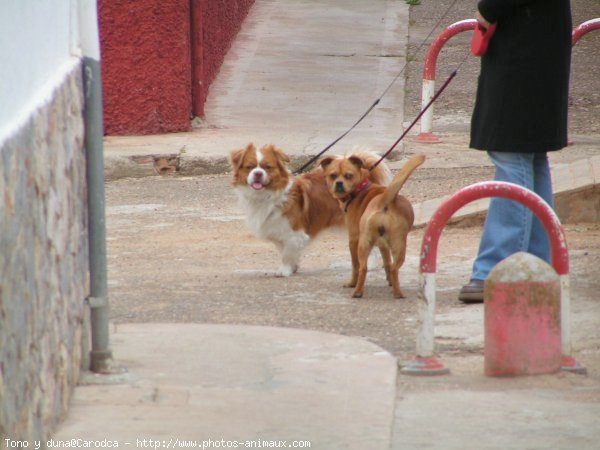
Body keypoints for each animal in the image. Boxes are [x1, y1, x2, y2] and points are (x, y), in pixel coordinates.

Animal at [227, 142, 392, 276]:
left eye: (267, 167)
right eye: (249, 167)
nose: (258, 173)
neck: (266, 196)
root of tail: (365, 176)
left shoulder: (296, 233)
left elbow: (286, 253)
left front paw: (285, 270)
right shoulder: (279, 231)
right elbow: (284, 250)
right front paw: (293, 267)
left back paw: (369, 265)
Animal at [322, 155, 424, 298]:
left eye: (348, 175)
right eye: (333, 175)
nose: (339, 183)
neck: (360, 189)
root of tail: (385, 200)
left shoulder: (353, 239)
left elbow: (355, 266)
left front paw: (352, 283)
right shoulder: (383, 245)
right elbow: (387, 263)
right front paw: (390, 282)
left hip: (365, 244)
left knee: (363, 267)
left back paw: (360, 291)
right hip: (394, 245)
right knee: (390, 268)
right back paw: (393, 292)